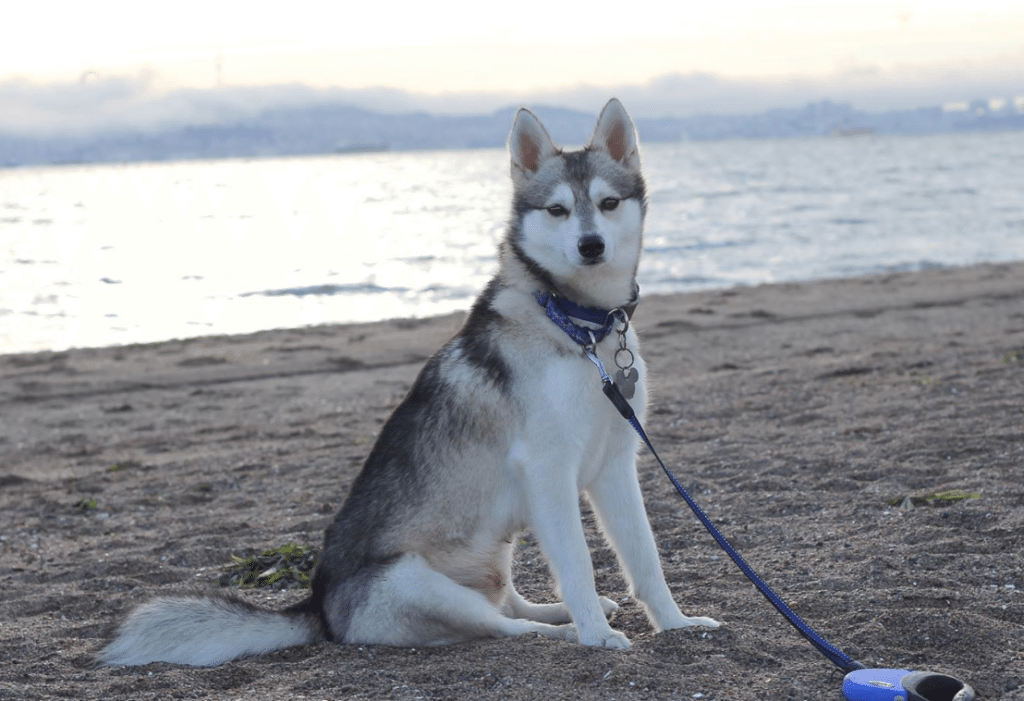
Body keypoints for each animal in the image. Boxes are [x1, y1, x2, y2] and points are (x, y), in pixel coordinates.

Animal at [96, 98, 720, 667]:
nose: (591, 245)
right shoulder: (550, 472)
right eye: (558, 210)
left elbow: (646, 558)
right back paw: (566, 629)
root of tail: (318, 609)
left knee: (509, 604)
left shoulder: (615, 464)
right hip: (416, 582)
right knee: (503, 626)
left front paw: (675, 623)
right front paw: (596, 635)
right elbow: (579, 565)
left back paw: (557, 612)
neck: (579, 326)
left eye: (608, 204)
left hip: (494, 549)